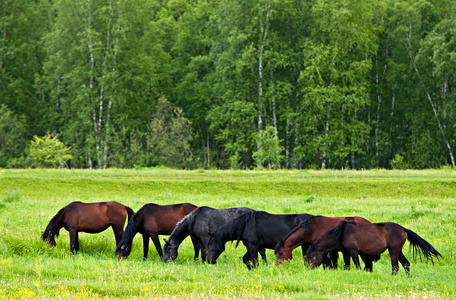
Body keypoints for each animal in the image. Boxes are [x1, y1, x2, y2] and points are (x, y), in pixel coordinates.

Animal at [306, 220, 442, 274]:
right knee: (406, 264)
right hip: (398, 251)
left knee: (395, 266)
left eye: (311, 257)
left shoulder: (353, 252)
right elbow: (347, 266)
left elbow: (357, 265)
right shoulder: (346, 253)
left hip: (393, 251)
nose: (308, 269)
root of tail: (403, 229)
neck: (342, 233)